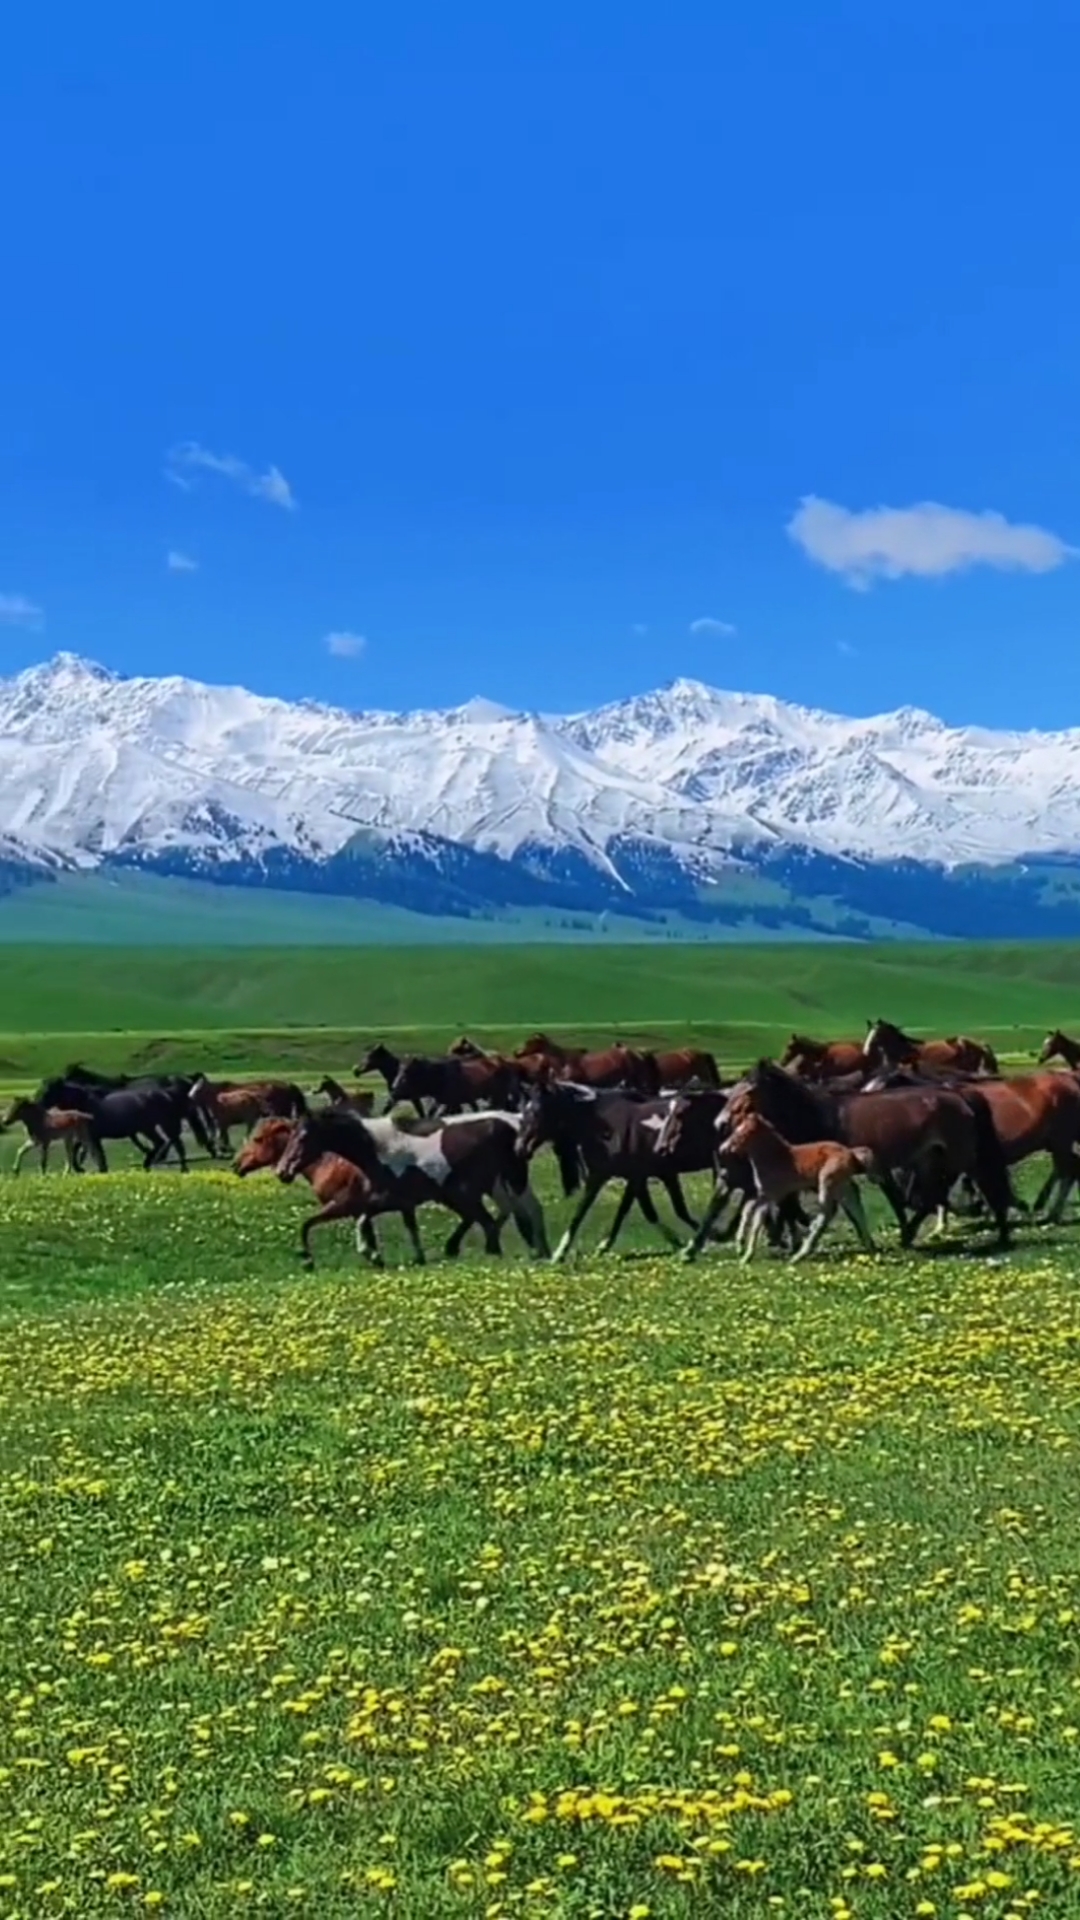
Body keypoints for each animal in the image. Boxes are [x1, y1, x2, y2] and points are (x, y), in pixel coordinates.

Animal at [234, 1118, 425, 1268]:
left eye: (257, 1139)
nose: (236, 1165)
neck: (327, 1166)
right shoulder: (360, 1212)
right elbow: (369, 1236)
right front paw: (377, 1259)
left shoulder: (341, 1207)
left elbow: (306, 1224)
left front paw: (307, 1259)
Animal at [277, 1107, 549, 1260]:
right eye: (290, 1136)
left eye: (303, 1136)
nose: (283, 1171)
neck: (378, 1148)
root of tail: (511, 1124)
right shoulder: (396, 1202)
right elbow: (394, 1225)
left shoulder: (387, 1200)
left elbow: (363, 1220)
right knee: (512, 1216)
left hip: (473, 1192)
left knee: (499, 1220)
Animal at [718, 1059, 1013, 1249]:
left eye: (749, 1090)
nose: (719, 1123)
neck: (822, 1117)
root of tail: (961, 1096)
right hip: (932, 1159)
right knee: (937, 1195)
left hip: (959, 1157)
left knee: (982, 1185)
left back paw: (1001, 1233)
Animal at [723, 1113, 879, 1265]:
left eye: (741, 1132)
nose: (725, 1149)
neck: (775, 1158)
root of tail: (852, 1154)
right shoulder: (764, 1194)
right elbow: (747, 1209)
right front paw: (740, 1247)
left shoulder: (771, 1195)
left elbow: (756, 1222)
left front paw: (746, 1256)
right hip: (841, 1185)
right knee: (855, 1205)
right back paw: (870, 1246)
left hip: (827, 1182)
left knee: (827, 1213)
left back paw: (799, 1255)